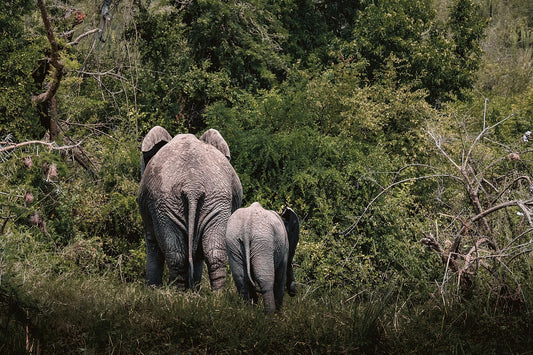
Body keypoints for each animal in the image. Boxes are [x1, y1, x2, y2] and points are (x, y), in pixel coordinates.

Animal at [137, 129, 241, 290]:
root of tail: (192, 185)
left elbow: (152, 242)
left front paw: (152, 290)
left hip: (166, 203)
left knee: (176, 255)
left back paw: (178, 292)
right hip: (213, 200)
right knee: (213, 251)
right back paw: (217, 294)